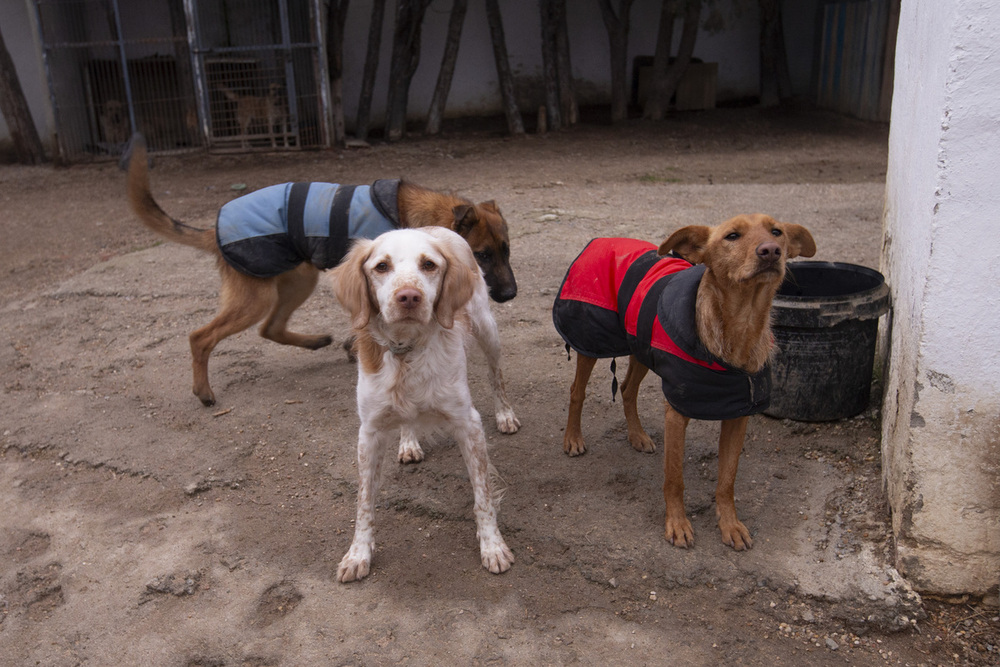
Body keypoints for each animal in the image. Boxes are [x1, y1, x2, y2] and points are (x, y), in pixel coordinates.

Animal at [330, 227, 516, 580]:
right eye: (381, 266)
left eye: (429, 264)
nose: (408, 297)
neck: (407, 349)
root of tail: (435, 227)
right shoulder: (369, 432)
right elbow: (364, 502)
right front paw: (358, 554)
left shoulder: (468, 424)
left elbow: (482, 495)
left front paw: (493, 546)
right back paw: (408, 442)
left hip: (488, 331)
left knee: (496, 374)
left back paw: (505, 414)